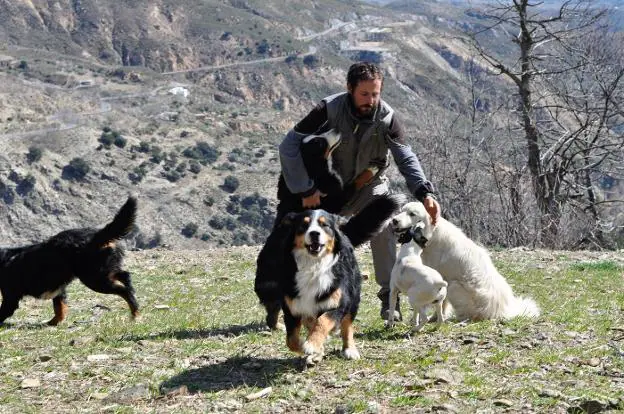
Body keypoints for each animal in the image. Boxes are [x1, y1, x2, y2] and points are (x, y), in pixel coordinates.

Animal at [0, 197, 139, 326]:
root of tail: (97, 236)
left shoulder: (10, 297)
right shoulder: (59, 289)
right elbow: (59, 308)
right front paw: (53, 322)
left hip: (94, 278)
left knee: (123, 290)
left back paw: (135, 314)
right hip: (102, 271)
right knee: (125, 276)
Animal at [256, 196, 402, 364]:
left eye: (324, 225)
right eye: (304, 225)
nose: (314, 233)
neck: (313, 266)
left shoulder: (338, 302)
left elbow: (323, 321)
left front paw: (312, 344)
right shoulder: (292, 307)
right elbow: (291, 340)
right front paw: (310, 347)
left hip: (352, 297)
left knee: (347, 325)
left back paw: (349, 349)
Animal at [390, 202, 540, 322]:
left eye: (412, 214)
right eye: (401, 210)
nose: (394, 220)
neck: (432, 234)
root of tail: (503, 311)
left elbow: (438, 303)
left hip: (453, 286)